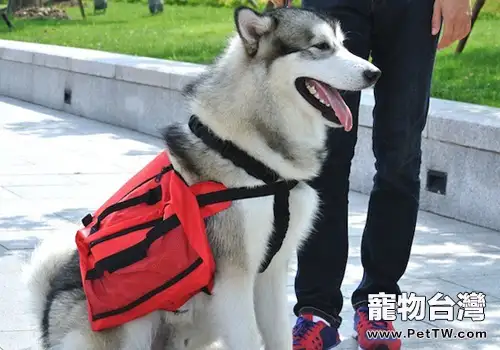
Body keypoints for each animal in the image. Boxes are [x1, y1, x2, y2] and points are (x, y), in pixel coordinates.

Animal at [23, 3, 380, 350]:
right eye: (320, 47)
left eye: (343, 45)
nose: (374, 73)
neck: (259, 159)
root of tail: (46, 316)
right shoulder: (234, 278)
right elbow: (248, 338)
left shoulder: (272, 272)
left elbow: (278, 334)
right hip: (134, 323)